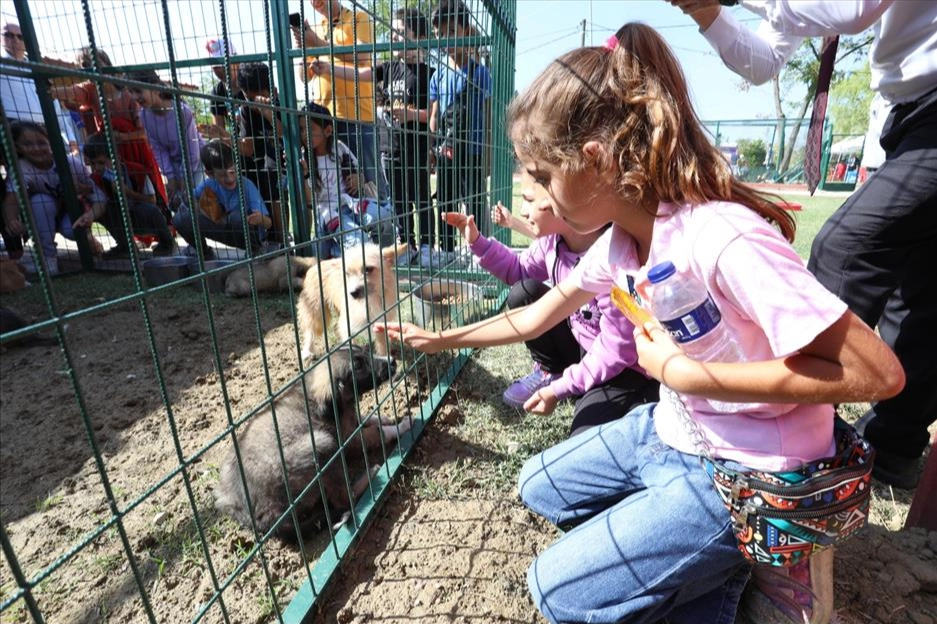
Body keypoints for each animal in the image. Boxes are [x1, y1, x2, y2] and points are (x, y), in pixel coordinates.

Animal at [218, 344, 414, 540]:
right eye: (358, 366)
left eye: (363, 350)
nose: (392, 361)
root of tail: (264, 519)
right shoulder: (348, 440)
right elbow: (377, 432)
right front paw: (403, 426)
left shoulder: (350, 423)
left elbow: (365, 419)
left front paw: (384, 418)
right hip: (323, 444)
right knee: (344, 498)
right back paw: (372, 473)